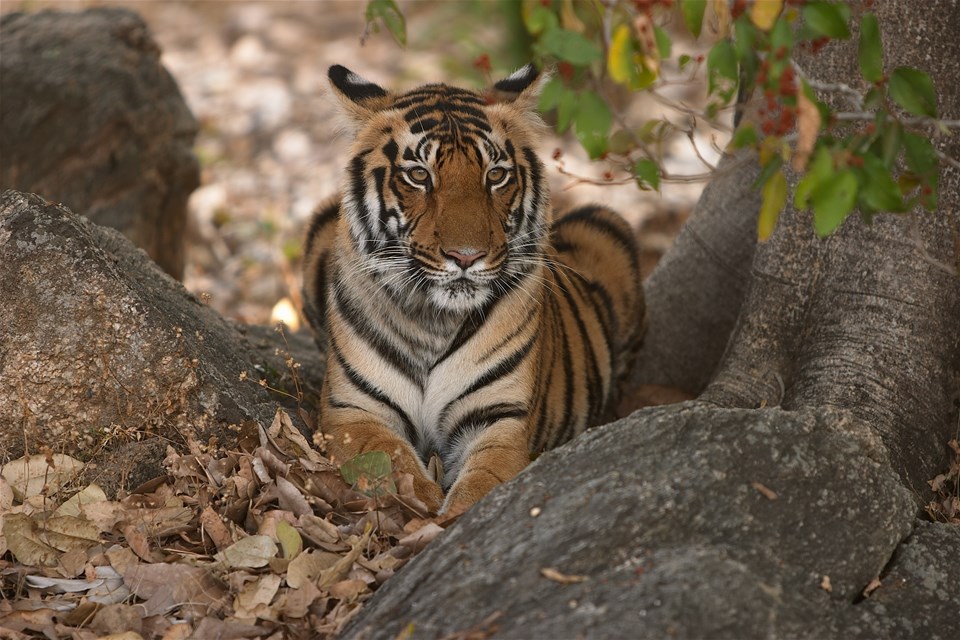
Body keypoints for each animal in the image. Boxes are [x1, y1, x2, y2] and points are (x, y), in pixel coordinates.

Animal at [300, 63, 644, 516]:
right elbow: (390, 463)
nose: (466, 256)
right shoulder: (353, 410)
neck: (433, 320)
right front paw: (422, 505)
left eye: (495, 175)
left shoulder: (499, 416)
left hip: (605, 224)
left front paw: (444, 520)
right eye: (419, 175)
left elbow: (484, 483)